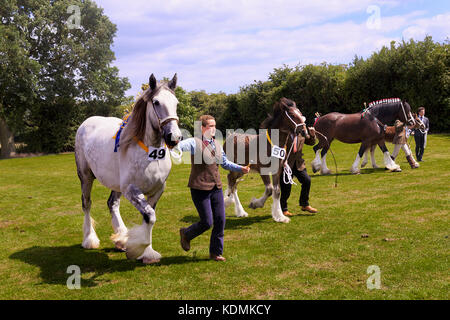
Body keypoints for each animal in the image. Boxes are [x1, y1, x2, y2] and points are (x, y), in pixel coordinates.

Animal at [74, 74, 181, 264]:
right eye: (156, 102)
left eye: (176, 103)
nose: (174, 137)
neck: (150, 155)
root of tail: (86, 123)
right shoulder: (131, 190)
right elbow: (150, 217)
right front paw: (139, 249)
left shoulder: (157, 190)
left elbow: (148, 217)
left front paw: (146, 252)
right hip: (85, 176)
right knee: (86, 203)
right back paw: (89, 240)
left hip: (117, 185)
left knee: (112, 203)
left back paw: (121, 238)